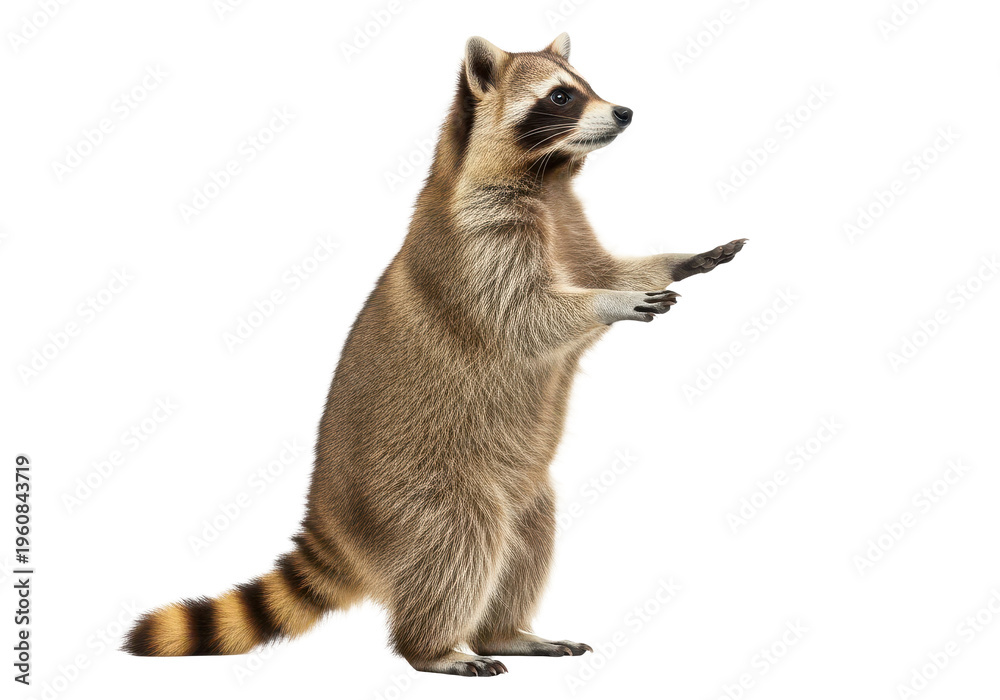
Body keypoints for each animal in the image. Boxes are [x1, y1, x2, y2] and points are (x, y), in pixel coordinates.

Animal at [124, 33, 746, 677]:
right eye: (560, 97)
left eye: (588, 85)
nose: (624, 112)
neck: (547, 179)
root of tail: (331, 517)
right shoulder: (476, 243)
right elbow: (525, 317)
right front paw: (610, 302)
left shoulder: (567, 224)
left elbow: (600, 270)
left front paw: (674, 260)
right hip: (420, 484)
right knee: (457, 541)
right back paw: (432, 647)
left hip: (519, 484)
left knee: (527, 536)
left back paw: (503, 630)